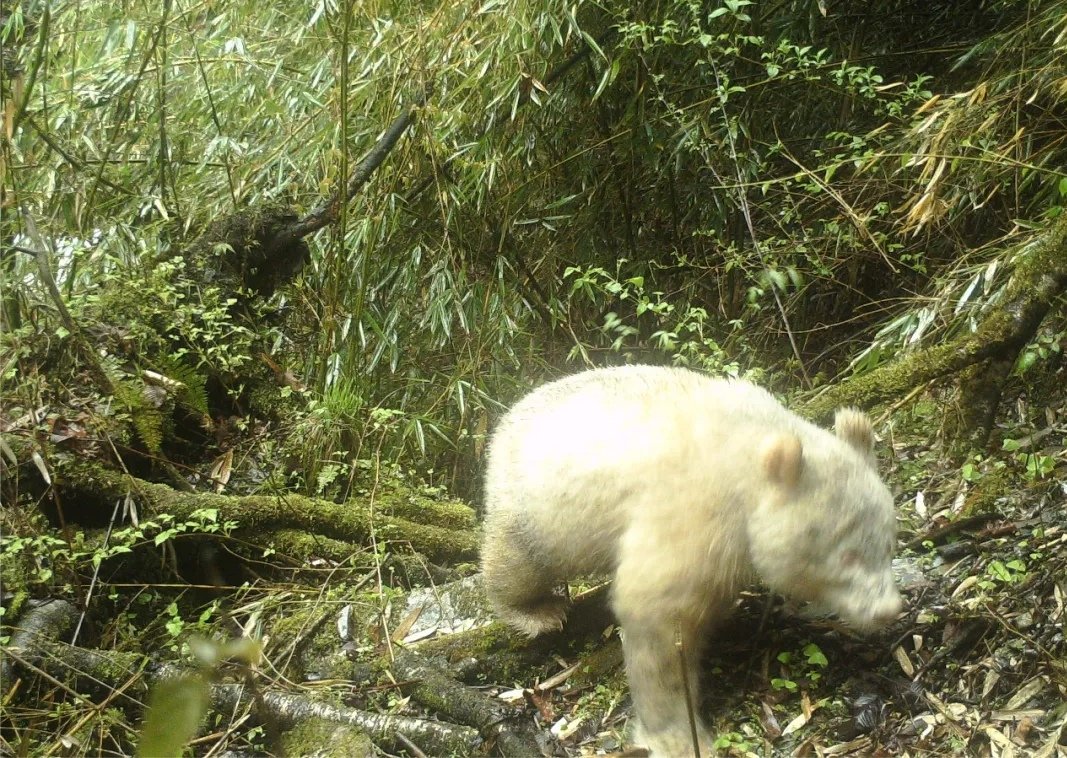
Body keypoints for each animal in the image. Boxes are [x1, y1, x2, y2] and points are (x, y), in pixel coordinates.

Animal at [480, 365, 901, 756]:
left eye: (888, 543)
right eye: (847, 555)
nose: (888, 609)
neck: (749, 455)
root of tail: (505, 419)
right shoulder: (694, 510)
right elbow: (656, 615)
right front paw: (676, 735)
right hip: (534, 505)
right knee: (517, 561)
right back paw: (536, 611)